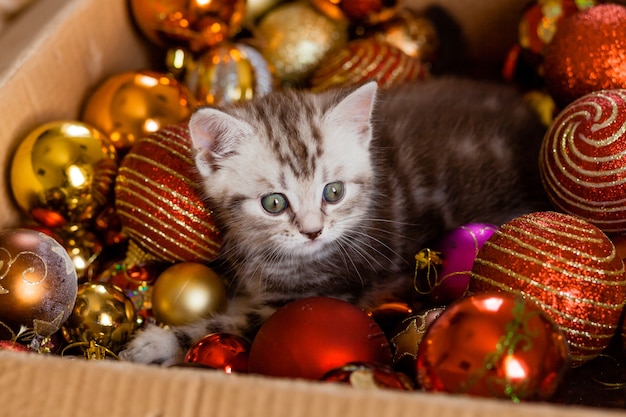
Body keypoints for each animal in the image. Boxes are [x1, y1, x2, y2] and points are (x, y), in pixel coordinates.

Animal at [118, 77, 544, 364]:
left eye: (333, 192)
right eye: (274, 203)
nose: (312, 231)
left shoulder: (326, 291)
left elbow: (235, 323)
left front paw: (159, 343)